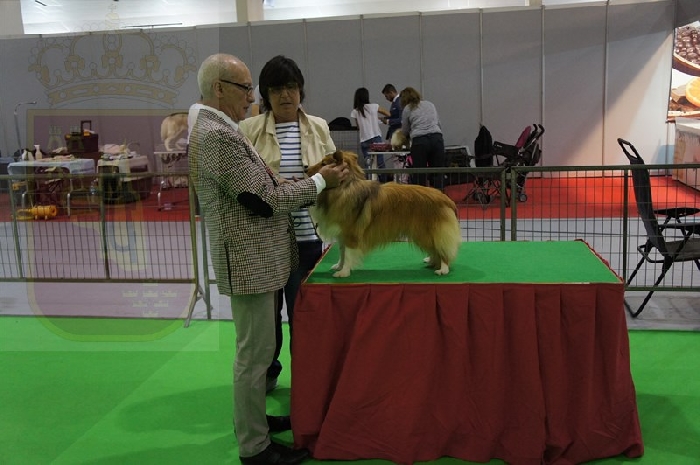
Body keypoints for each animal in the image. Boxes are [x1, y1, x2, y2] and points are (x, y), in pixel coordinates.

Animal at [306, 150, 461, 277]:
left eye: (323, 163)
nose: (306, 168)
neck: (345, 187)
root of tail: (446, 199)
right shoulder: (342, 235)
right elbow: (342, 252)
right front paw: (339, 266)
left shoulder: (351, 233)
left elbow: (348, 253)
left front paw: (343, 272)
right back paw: (431, 260)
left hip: (427, 232)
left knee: (442, 250)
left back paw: (443, 269)